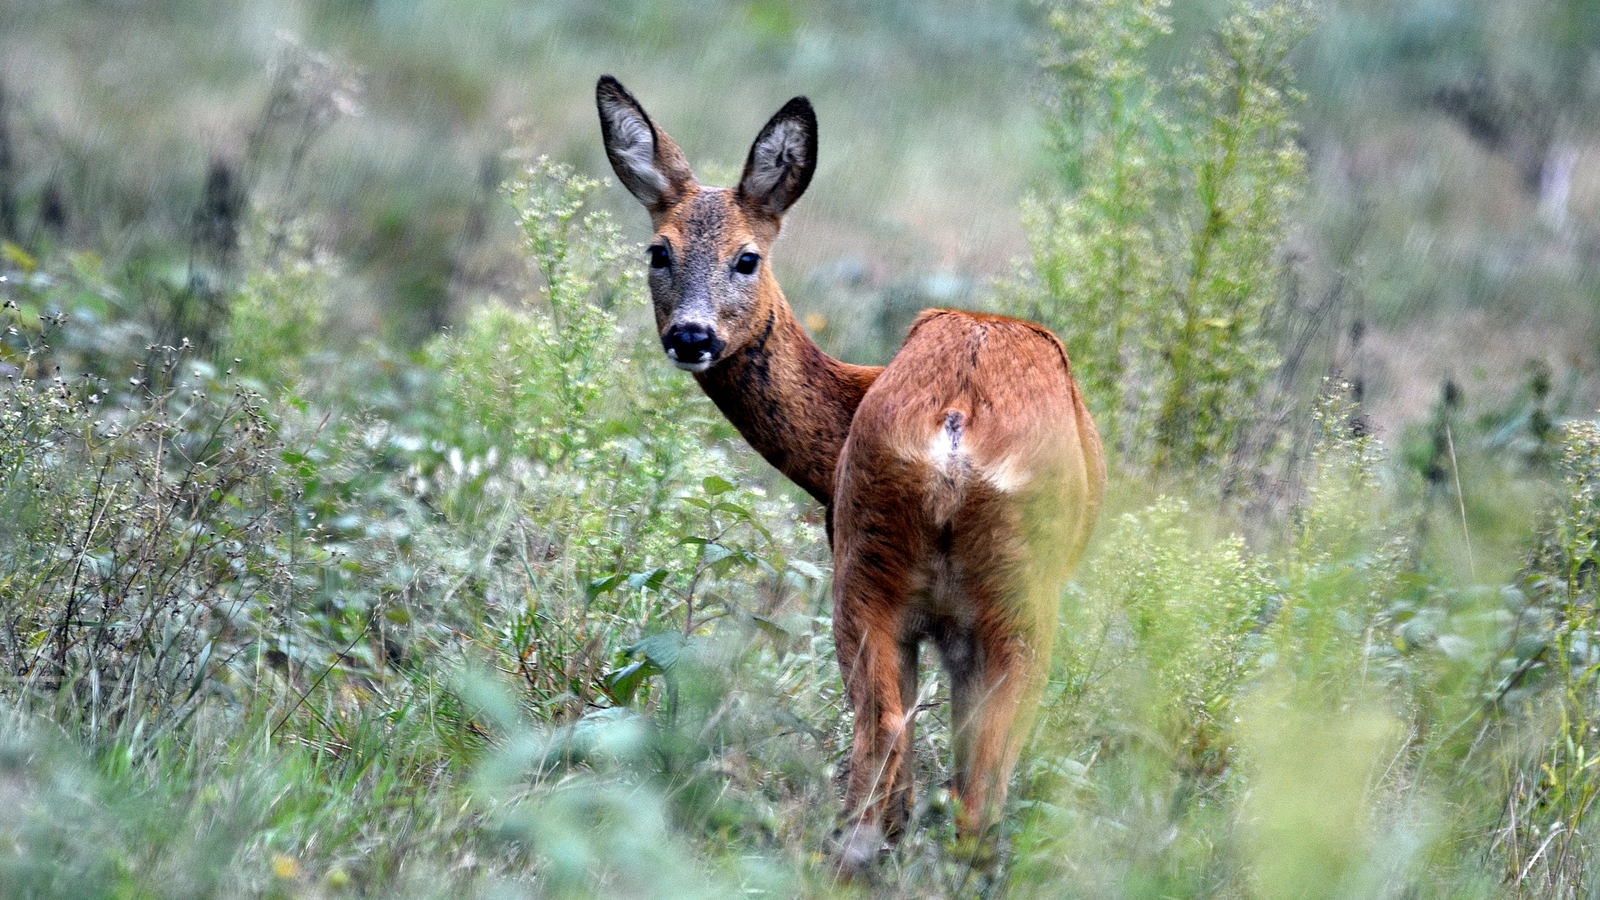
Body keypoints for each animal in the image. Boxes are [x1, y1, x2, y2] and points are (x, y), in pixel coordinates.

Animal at [595, 73, 1107, 871]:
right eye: (659, 250)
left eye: (747, 258)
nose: (691, 335)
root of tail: (955, 422)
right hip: (987, 582)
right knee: (953, 749)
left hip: (882, 557)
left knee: (902, 730)